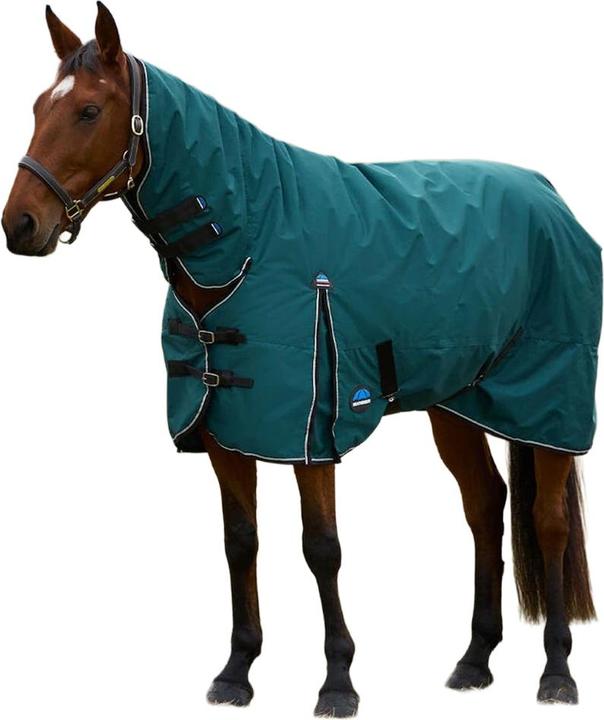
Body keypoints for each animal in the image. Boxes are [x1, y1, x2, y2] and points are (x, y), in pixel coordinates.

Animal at [2, 4, 600, 715]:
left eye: (89, 111)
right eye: (39, 106)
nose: (19, 225)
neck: (250, 240)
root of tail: (549, 195)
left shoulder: (312, 432)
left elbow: (322, 548)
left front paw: (338, 681)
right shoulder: (227, 429)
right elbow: (240, 542)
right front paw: (237, 670)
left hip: (548, 403)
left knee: (547, 522)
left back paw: (557, 672)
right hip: (456, 404)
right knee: (486, 506)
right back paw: (474, 660)